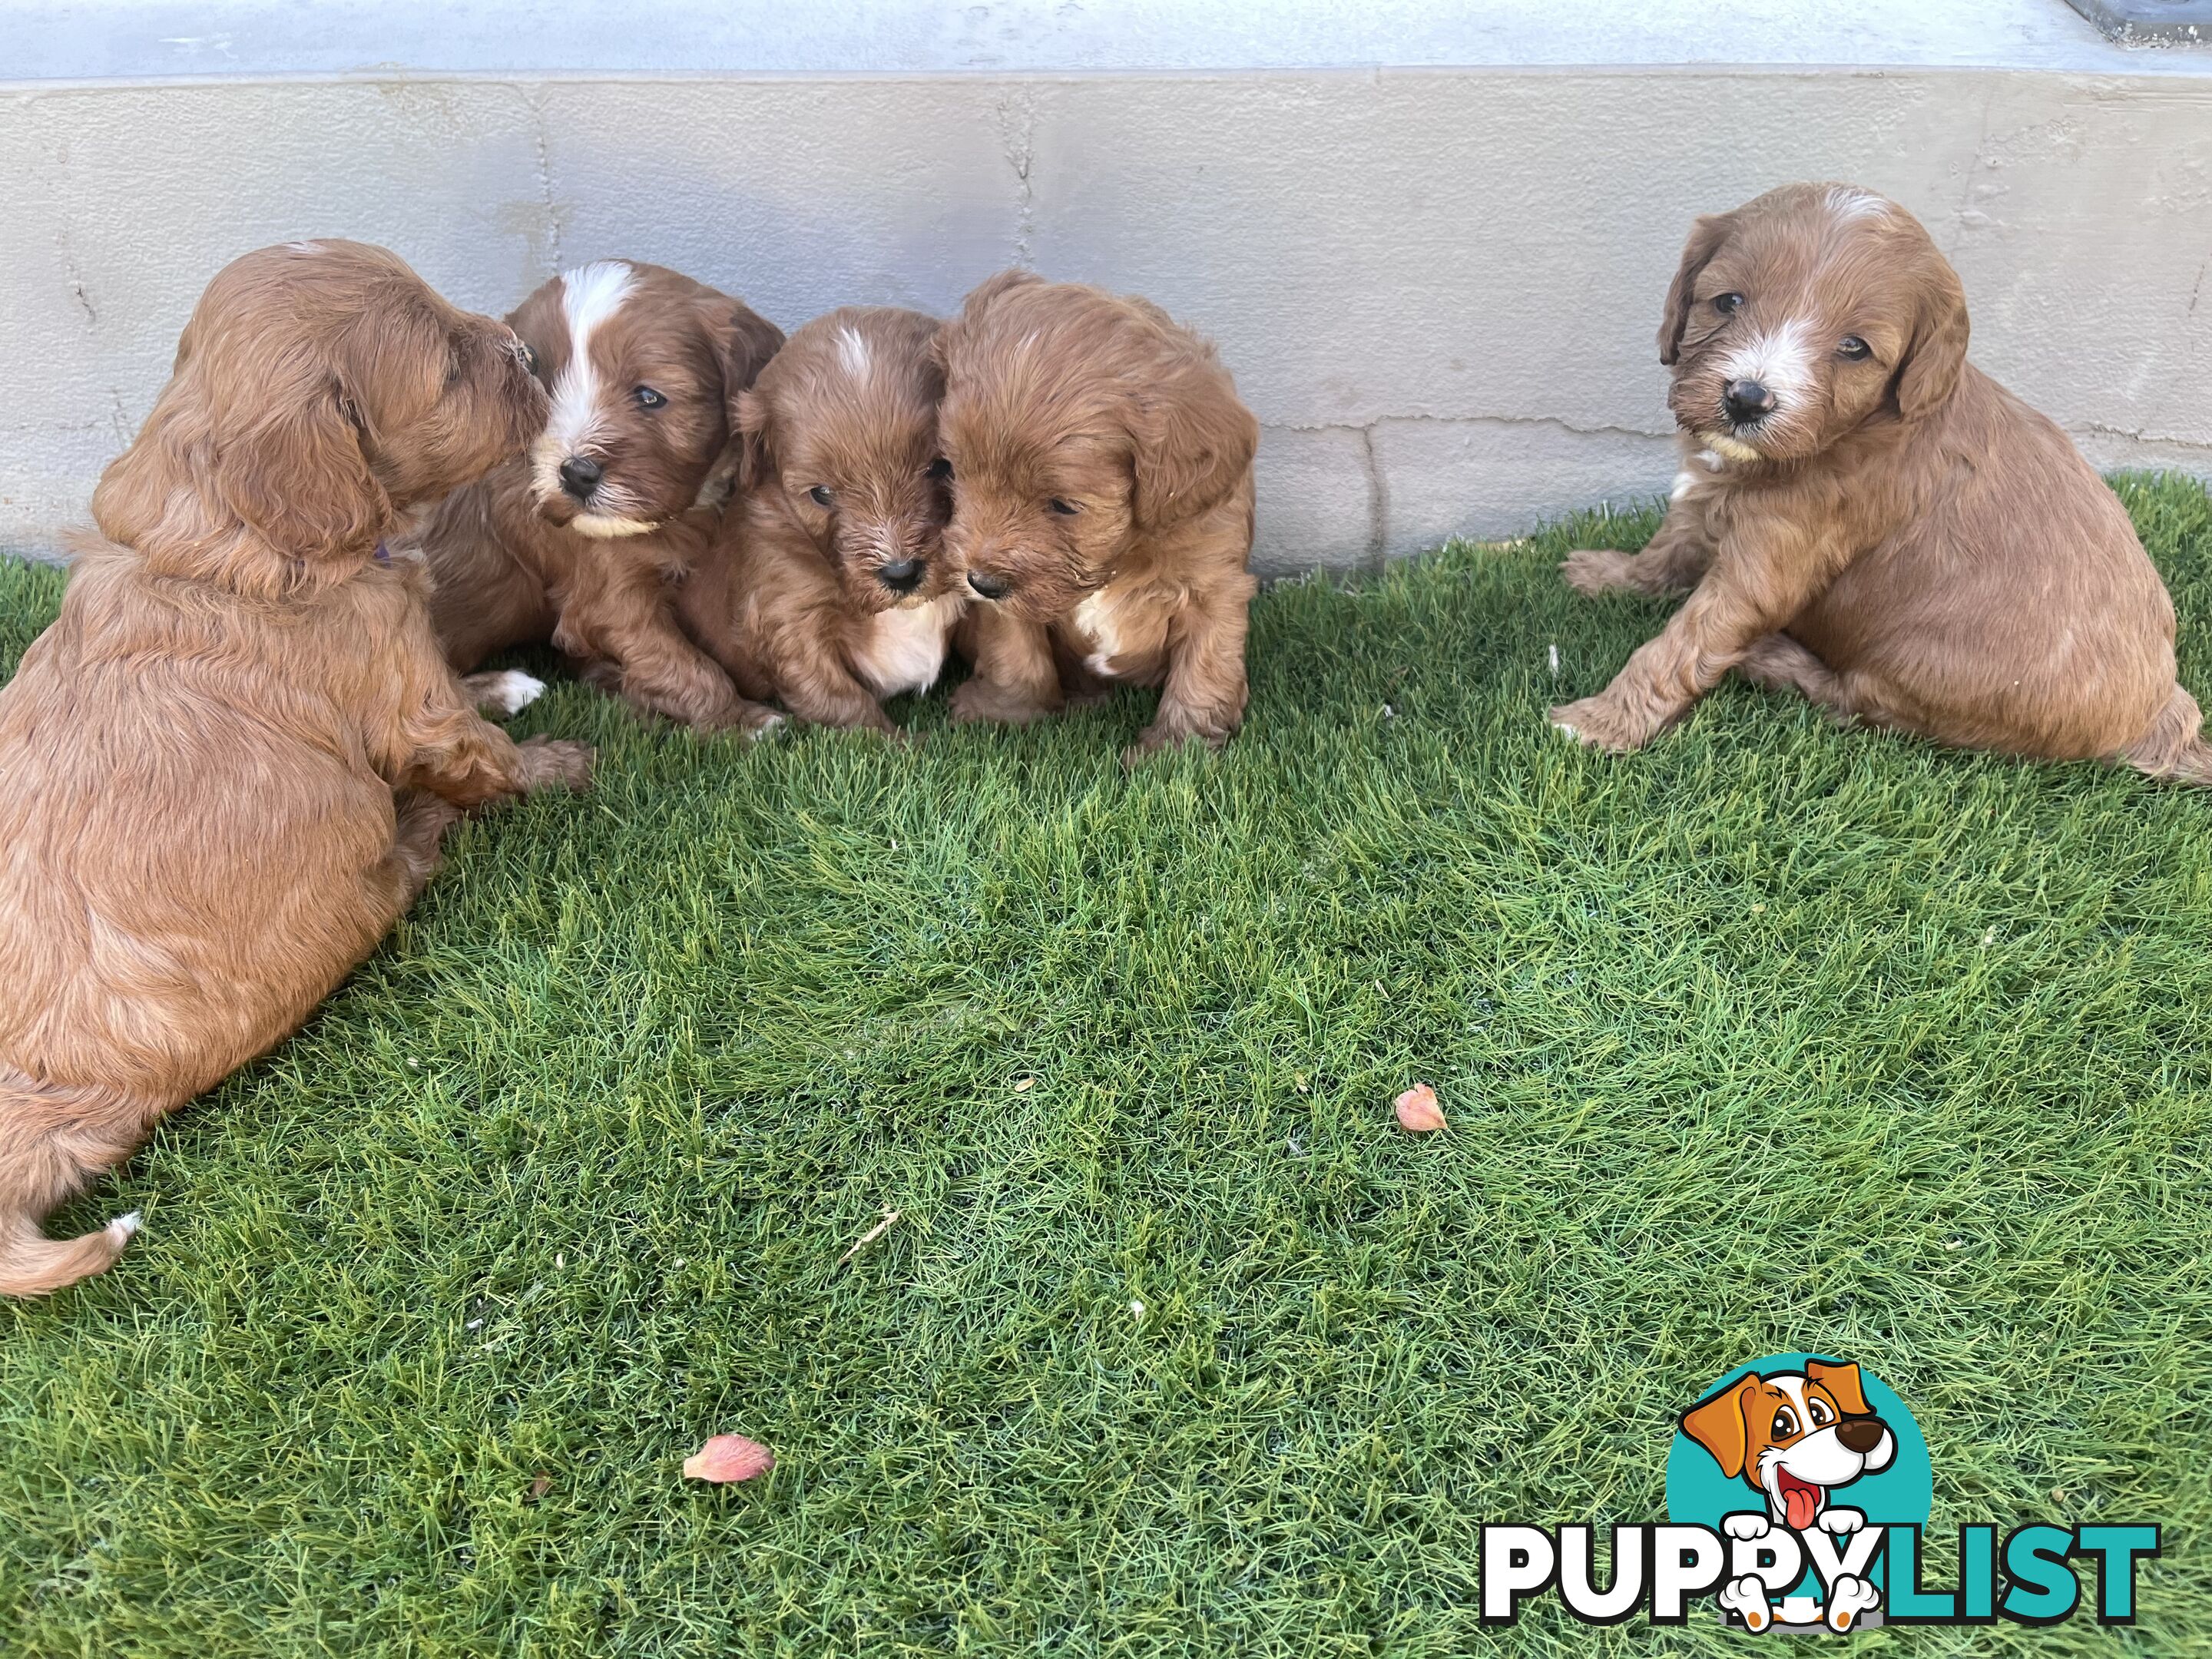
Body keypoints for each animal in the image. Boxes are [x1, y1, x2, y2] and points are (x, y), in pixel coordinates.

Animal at [0, 240, 597, 1300]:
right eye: (449, 370)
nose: (528, 352)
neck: (217, 536)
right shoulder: (405, 696)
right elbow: (477, 752)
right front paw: (559, 760)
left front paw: (505, 682)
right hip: (346, 895)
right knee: (401, 857)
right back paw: (426, 829)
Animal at [418, 260, 792, 738]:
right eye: (535, 383)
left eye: (649, 397)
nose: (576, 474)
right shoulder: (607, 600)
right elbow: (683, 665)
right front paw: (742, 720)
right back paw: (507, 688)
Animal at [677, 307, 964, 734]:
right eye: (821, 493)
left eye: (940, 467)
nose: (901, 574)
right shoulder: (788, 614)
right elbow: (837, 697)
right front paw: (896, 742)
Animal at [929, 273, 1256, 765]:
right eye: (952, 470)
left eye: (1064, 505)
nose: (980, 583)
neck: (1121, 557)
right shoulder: (1011, 602)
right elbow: (1015, 648)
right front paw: (1005, 710)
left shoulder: (1214, 586)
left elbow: (1204, 669)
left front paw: (1178, 750)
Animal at [1557, 181, 2212, 787]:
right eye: (1728, 301)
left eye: (1854, 348)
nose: (1746, 399)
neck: (1850, 431)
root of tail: (2162, 715)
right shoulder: (1706, 499)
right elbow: (1667, 547)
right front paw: (1608, 574)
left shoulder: (1774, 557)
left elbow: (1684, 643)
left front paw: (1602, 721)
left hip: (1920, 666)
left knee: (1856, 702)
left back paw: (1773, 657)